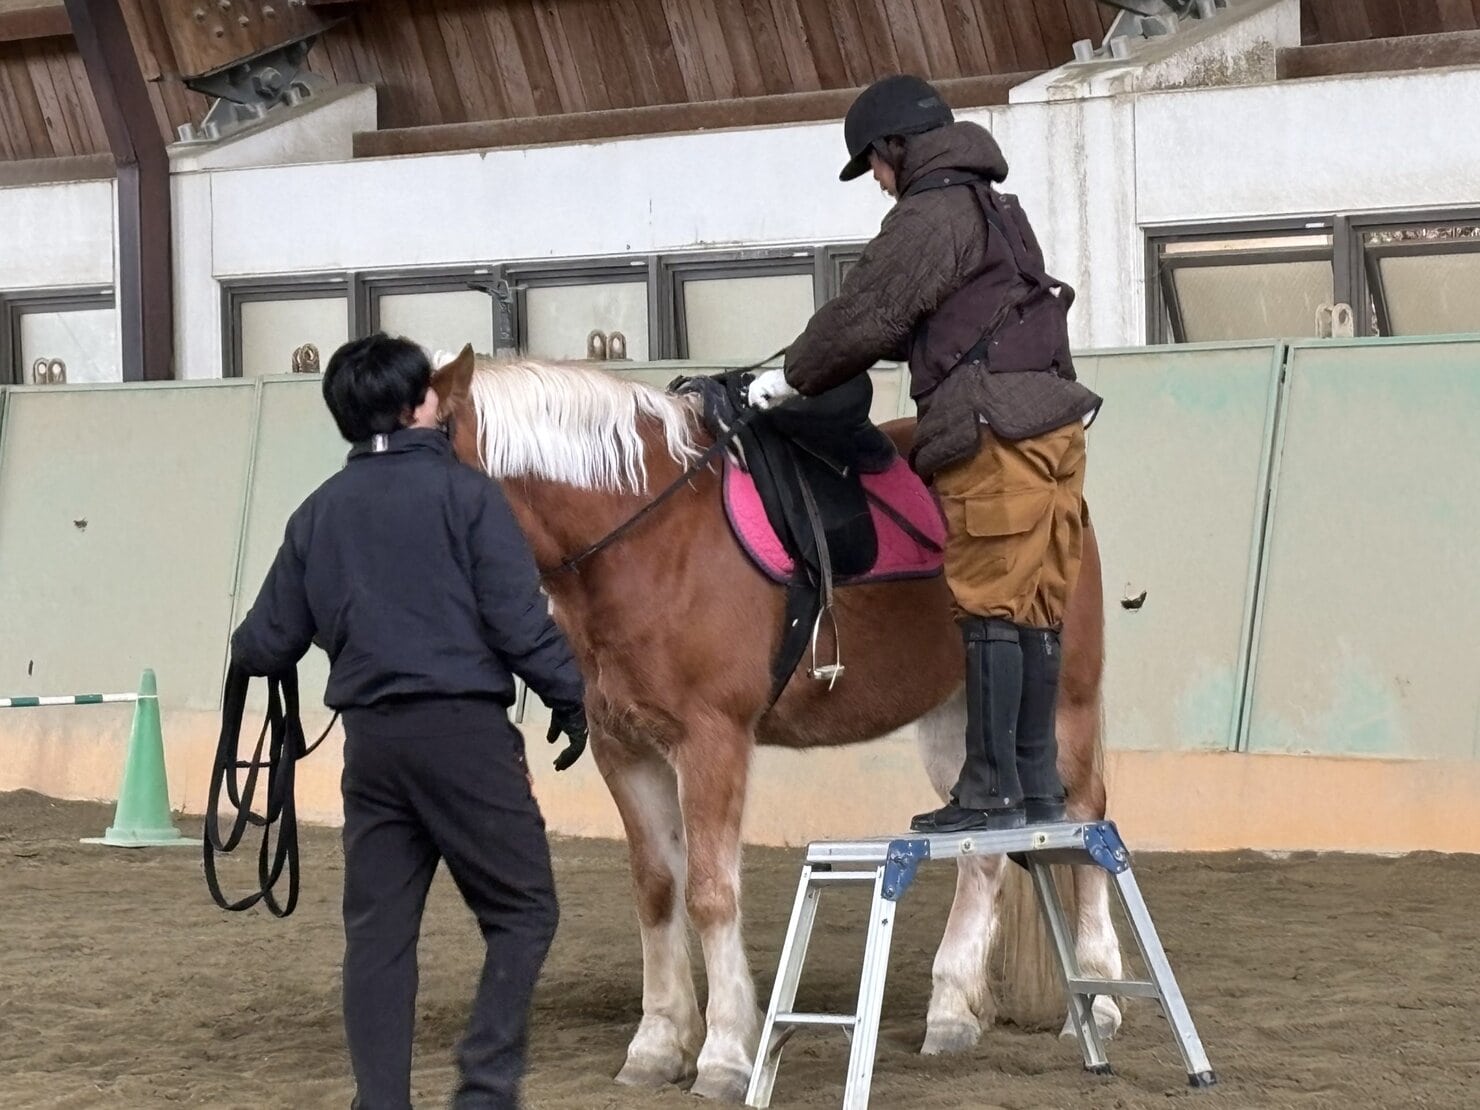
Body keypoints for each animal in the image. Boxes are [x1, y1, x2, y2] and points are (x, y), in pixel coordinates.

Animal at [429, 347, 1124, 1101]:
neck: (647, 536)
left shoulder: (711, 740)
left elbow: (709, 891)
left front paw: (725, 1054)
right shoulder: (625, 749)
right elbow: (656, 889)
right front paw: (657, 1043)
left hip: (1062, 708)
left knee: (1086, 824)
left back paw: (1100, 1000)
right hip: (956, 722)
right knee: (985, 850)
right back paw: (950, 1010)